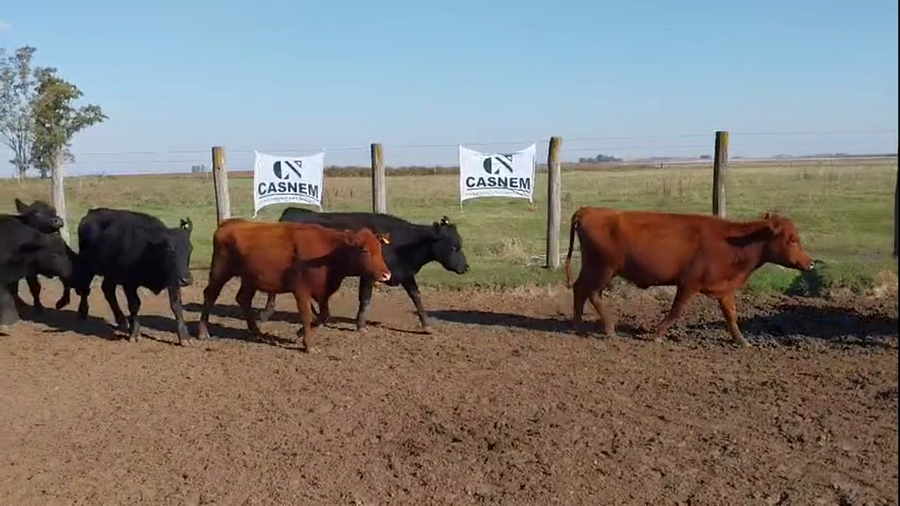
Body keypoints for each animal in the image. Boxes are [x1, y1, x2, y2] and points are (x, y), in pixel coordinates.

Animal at [60, 208, 195, 345]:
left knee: (107, 290)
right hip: (88, 265)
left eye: (190, 248)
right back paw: (83, 311)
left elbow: (176, 306)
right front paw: (134, 333)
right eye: (169, 249)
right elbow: (134, 305)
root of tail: (92, 212)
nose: (186, 279)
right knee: (85, 288)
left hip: (111, 273)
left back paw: (121, 320)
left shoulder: (173, 282)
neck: (149, 249)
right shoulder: (129, 283)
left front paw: (185, 337)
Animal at [196, 218, 393, 353]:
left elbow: (324, 316)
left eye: (380, 249)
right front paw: (309, 345)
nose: (386, 274)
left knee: (243, 299)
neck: (329, 252)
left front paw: (300, 334)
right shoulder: (302, 292)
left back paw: (256, 332)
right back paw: (202, 332)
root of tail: (227, 223)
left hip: (249, 278)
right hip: (220, 271)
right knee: (210, 295)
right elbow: (306, 316)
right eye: (365, 250)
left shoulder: (322, 292)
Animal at [257, 208, 469, 333]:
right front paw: (361, 326)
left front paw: (426, 325)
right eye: (452, 247)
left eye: (460, 244)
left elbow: (416, 296)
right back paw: (266, 314)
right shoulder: (369, 275)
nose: (465, 267)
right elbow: (365, 298)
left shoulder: (405, 274)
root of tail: (291, 212)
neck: (402, 243)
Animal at [563, 207, 814, 347]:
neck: (731, 243)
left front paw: (741, 340)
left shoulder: (725, 289)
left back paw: (578, 326)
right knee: (591, 292)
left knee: (580, 289)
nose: (810, 262)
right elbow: (676, 311)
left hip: (594, 268)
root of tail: (589, 210)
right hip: (603, 268)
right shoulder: (689, 284)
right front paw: (658, 334)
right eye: (792, 240)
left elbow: (731, 315)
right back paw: (609, 328)